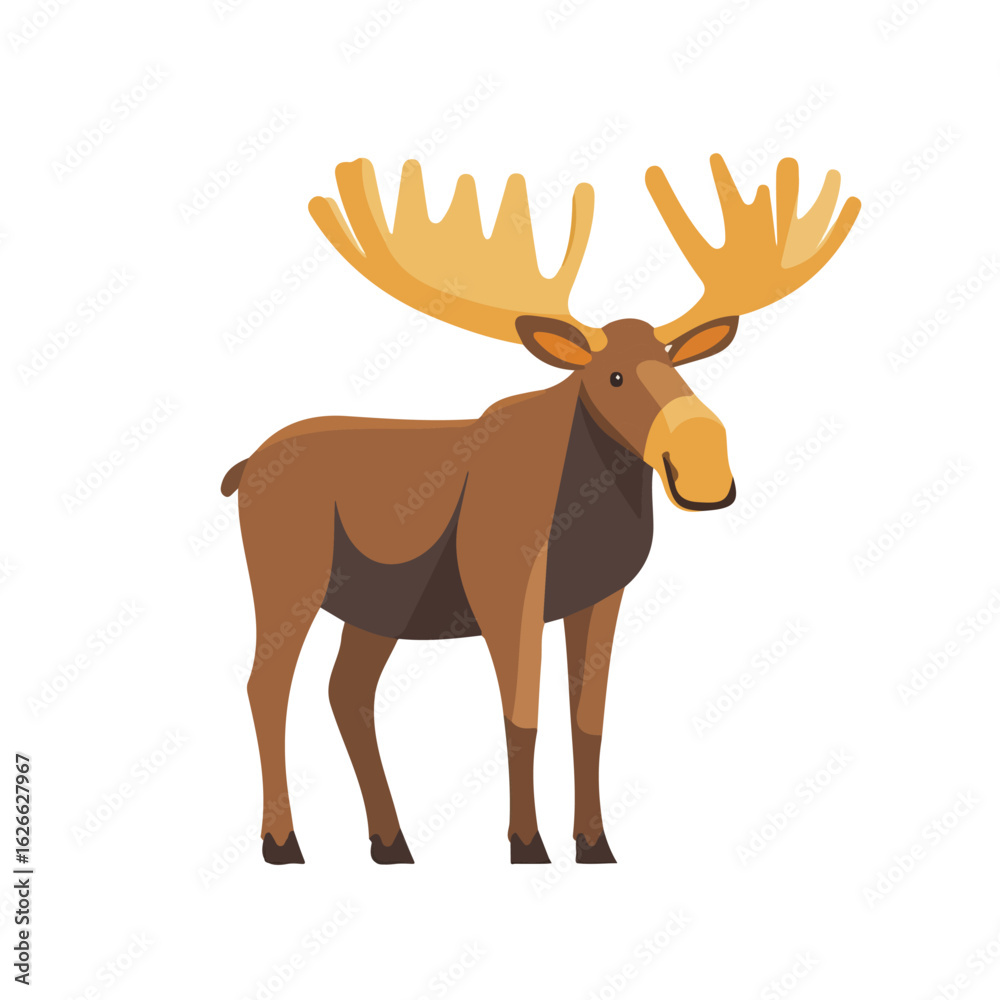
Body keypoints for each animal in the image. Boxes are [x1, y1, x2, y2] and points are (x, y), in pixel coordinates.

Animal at [222, 154, 860, 866]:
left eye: (677, 365)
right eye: (612, 376)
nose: (703, 461)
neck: (590, 509)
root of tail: (241, 470)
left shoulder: (599, 597)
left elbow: (589, 720)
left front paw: (595, 842)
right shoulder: (504, 588)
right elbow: (521, 714)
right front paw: (526, 843)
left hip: (378, 608)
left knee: (347, 692)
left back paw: (391, 842)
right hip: (289, 581)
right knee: (265, 687)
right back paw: (282, 841)